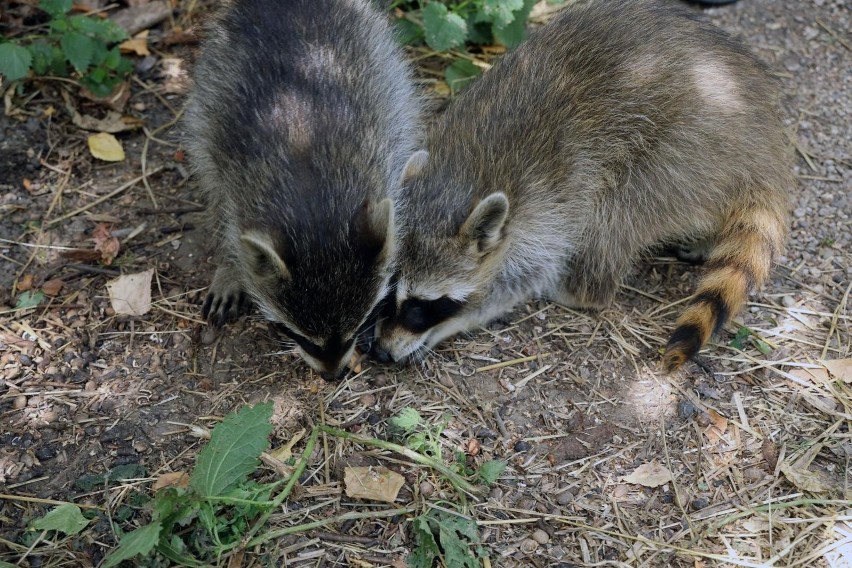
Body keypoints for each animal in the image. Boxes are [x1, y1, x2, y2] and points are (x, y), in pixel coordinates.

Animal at [187, 1, 422, 382]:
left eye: (357, 327)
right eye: (298, 335)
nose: (332, 375)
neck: (314, 207)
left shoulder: (382, 154)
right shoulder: (236, 177)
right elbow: (227, 213)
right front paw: (232, 263)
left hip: (384, 63)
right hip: (211, 86)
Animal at [376, 0, 796, 372]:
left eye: (422, 307)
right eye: (388, 291)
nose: (379, 351)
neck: (462, 175)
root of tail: (766, 147)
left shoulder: (548, 203)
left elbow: (528, 274)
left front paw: (460, 318)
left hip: (684, 151)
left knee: (616, 215)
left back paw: (581, 287)